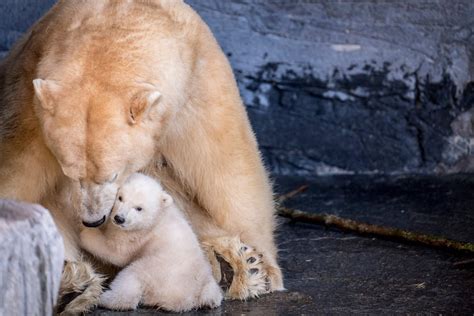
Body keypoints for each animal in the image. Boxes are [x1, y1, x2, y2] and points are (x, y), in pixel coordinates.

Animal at [0, 0, 282, 312]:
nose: (93, 220)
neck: (120, 20)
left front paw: (264, 269)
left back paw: (232, 264)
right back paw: (71, 286)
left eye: (111, 174)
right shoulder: (26, 106)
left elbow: (226, 162)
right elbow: (18, 176)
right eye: (70, 172)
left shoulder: (197, 80)